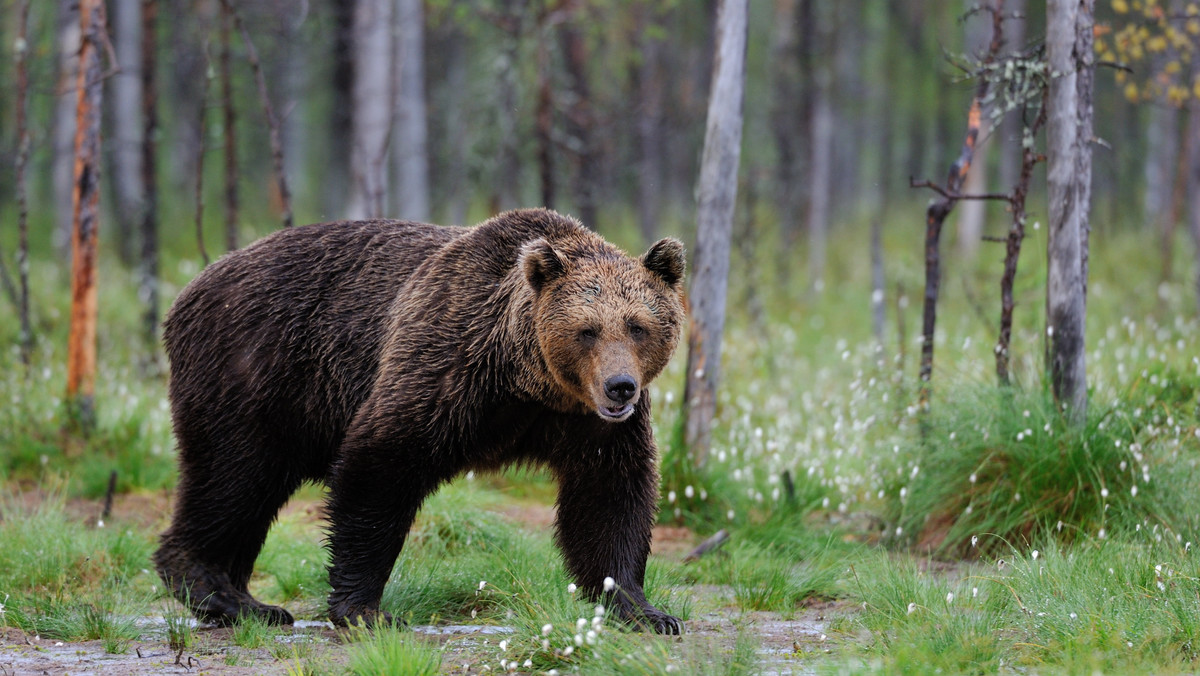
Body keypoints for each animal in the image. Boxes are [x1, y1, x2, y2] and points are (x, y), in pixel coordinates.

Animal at [152, 207, 686, 633]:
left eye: (638, 326)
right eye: (586, 330)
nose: (620, 386)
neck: (527, 382)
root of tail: (189, 288)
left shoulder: (587, 423)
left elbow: (609, 497)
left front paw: (643, 610)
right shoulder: (447, 364)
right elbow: (381, 464)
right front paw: (366, 610)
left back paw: (246, 601)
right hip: (254, 371)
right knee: (234, 477)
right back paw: (220, 593)